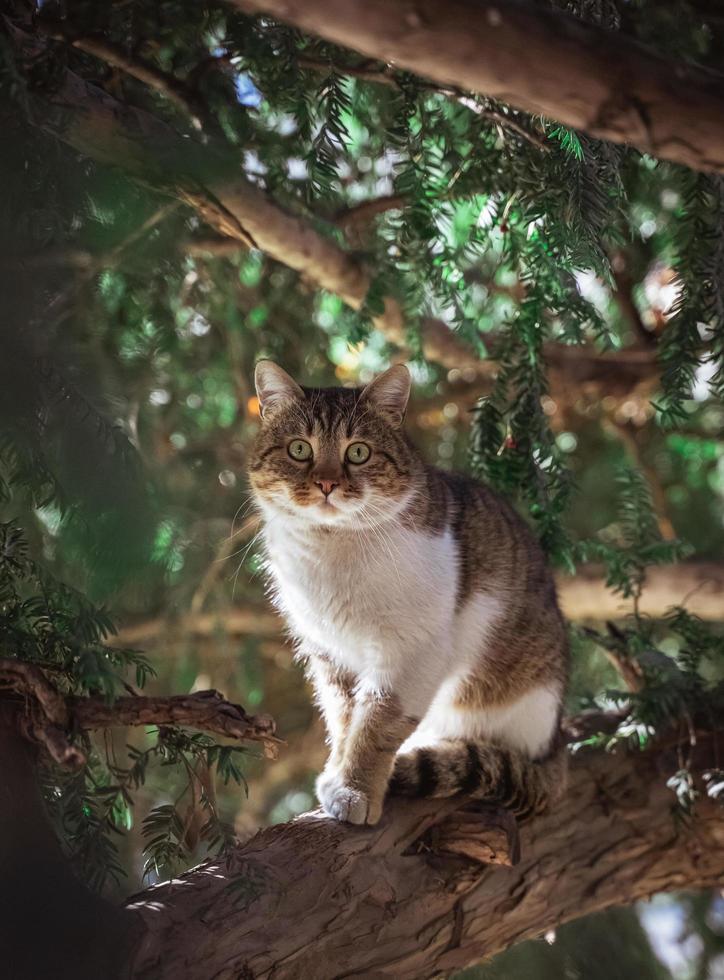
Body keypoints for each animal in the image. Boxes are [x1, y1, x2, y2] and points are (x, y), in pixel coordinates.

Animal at [252, 356, 568, 824]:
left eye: (358, 452)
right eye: (299, 449)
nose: (326, 484)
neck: (331, 550)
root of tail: (556, 742)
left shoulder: (411, 651)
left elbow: (377, 725)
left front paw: (356, 789)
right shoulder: (329, 653)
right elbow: (344, 721)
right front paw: (338, 772)